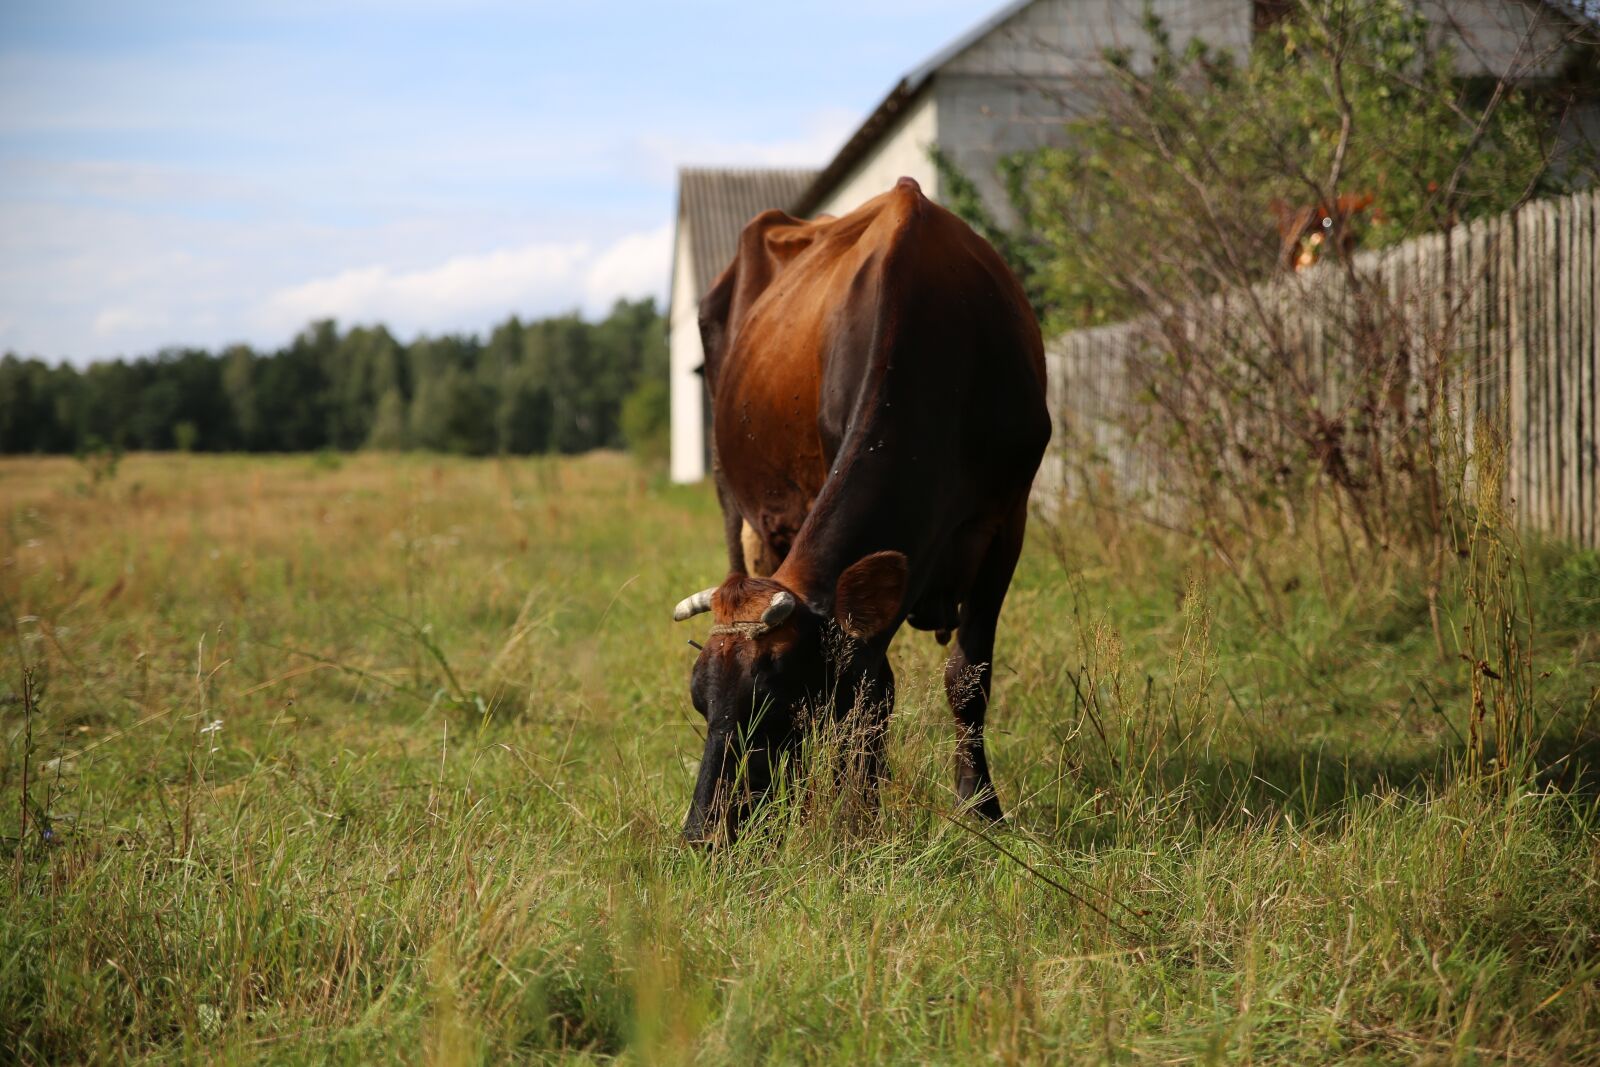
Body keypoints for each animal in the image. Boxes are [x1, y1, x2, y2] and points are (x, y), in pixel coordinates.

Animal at [672, 177, 1051, 845]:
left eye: (777, 703)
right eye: (700, 702)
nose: (703, 833)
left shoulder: (1007, 520)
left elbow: (966, 679)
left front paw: (980, 809)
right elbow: (873, 688)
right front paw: (858, 817)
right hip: (732, 495)